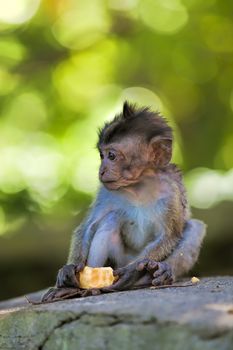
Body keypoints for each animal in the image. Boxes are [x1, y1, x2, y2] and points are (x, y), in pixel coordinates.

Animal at [43, 102, 206, 300]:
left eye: (111, 156)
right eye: (101, 155)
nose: (102, 170)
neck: (139, 186)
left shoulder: (171, 193)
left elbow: (169, 235)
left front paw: (133, 271)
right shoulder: (106, 192)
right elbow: (87, 227)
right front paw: (71, 268)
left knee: (195, 227)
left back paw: (157, 274)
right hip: (117, 261)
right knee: (110, 219)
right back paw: (83, 287)